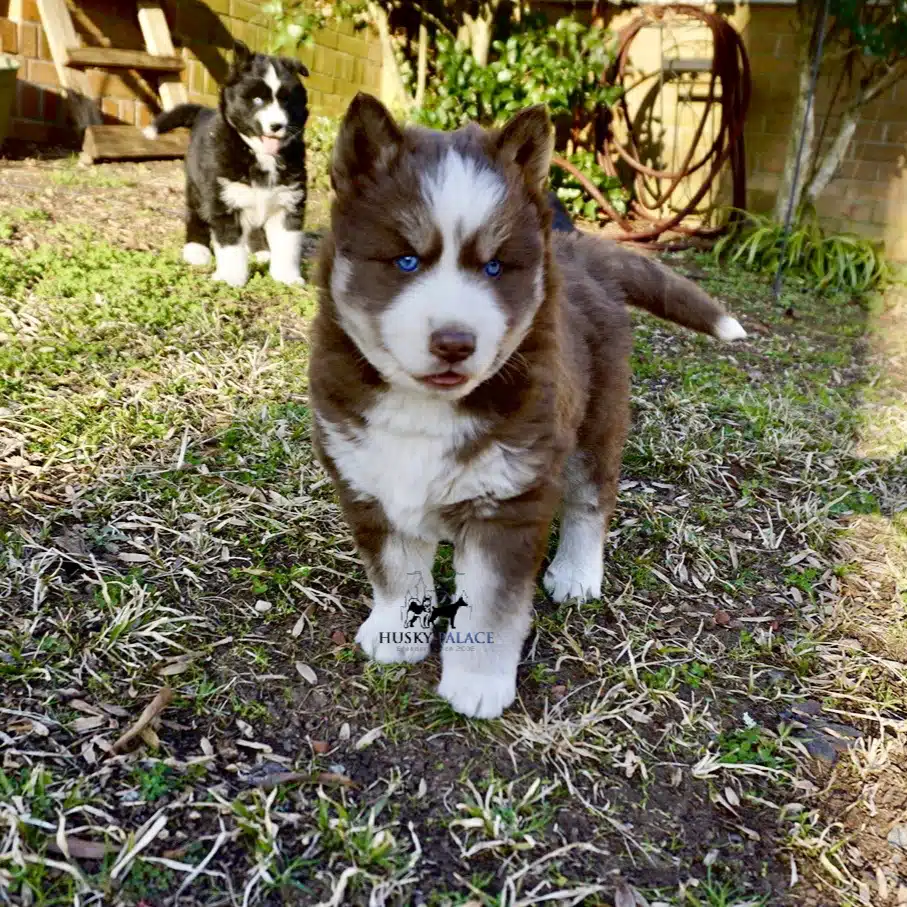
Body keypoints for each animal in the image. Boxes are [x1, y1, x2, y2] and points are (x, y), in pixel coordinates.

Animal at [145, 40, 308, 284]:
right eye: (257, 99)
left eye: (286, 100)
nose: (277, 125)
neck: (257, 153)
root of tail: (203, 111)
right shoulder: (223, 199)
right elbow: (231, 245)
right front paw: (232, 278)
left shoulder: (288, 200)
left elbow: (288, 245)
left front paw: (286, 277)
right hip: (196, 188)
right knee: (195, 216)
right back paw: (196, 250)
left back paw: (261, 251)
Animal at [306, 92, 744, 716]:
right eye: (406, 261)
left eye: (494, 267)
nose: (456, 342)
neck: (425, 408)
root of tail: (581, 251)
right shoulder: (366, 480)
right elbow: (395, 570)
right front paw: (395, 634)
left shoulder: (509, 500)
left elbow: (490, 606)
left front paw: (477, 682)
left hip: (596, 420)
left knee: (591, 498)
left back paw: (577, 571)